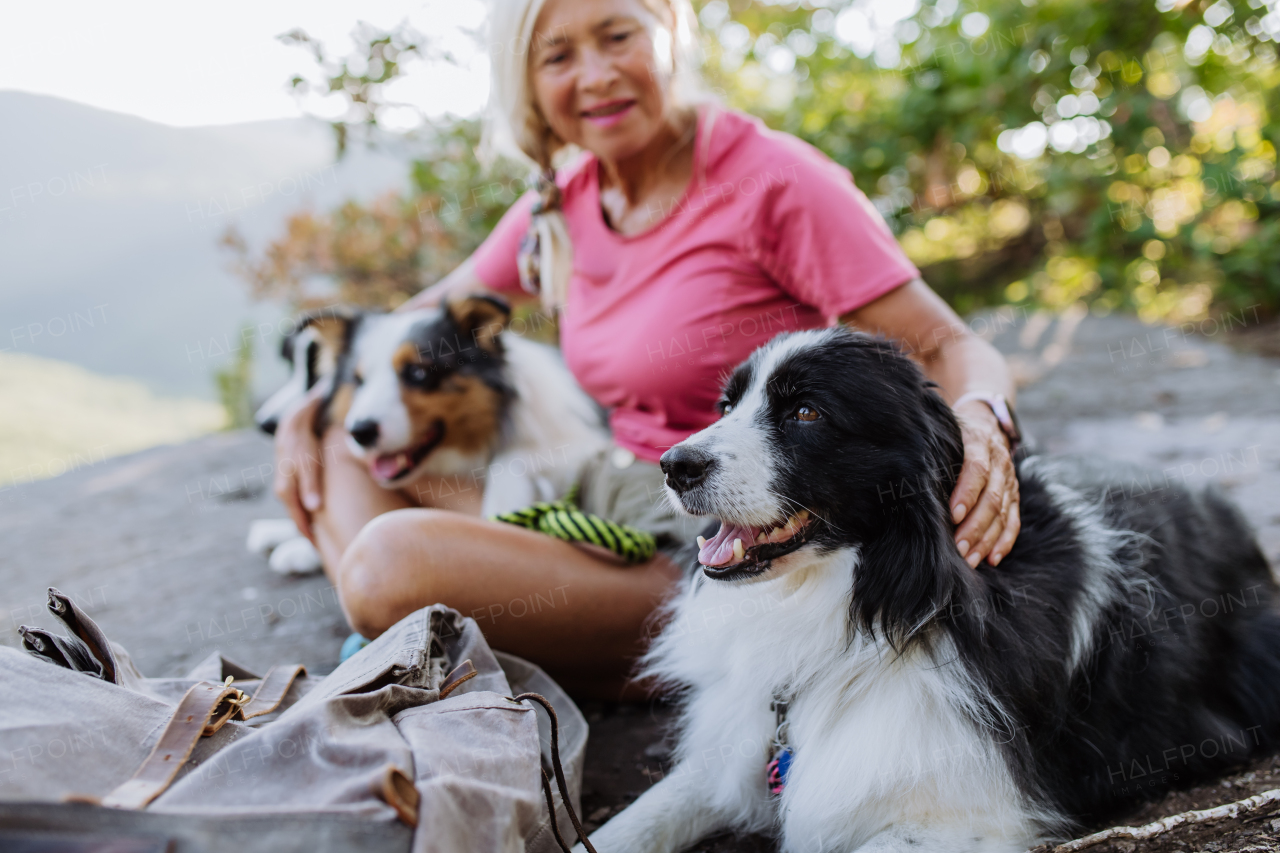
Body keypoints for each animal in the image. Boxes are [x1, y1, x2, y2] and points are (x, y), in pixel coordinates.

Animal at [253, 294, 609, 571]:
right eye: (358, 380)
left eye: (418, 373)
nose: (359, 432)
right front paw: (296, 543)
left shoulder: (587, 444)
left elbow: (511, 461)